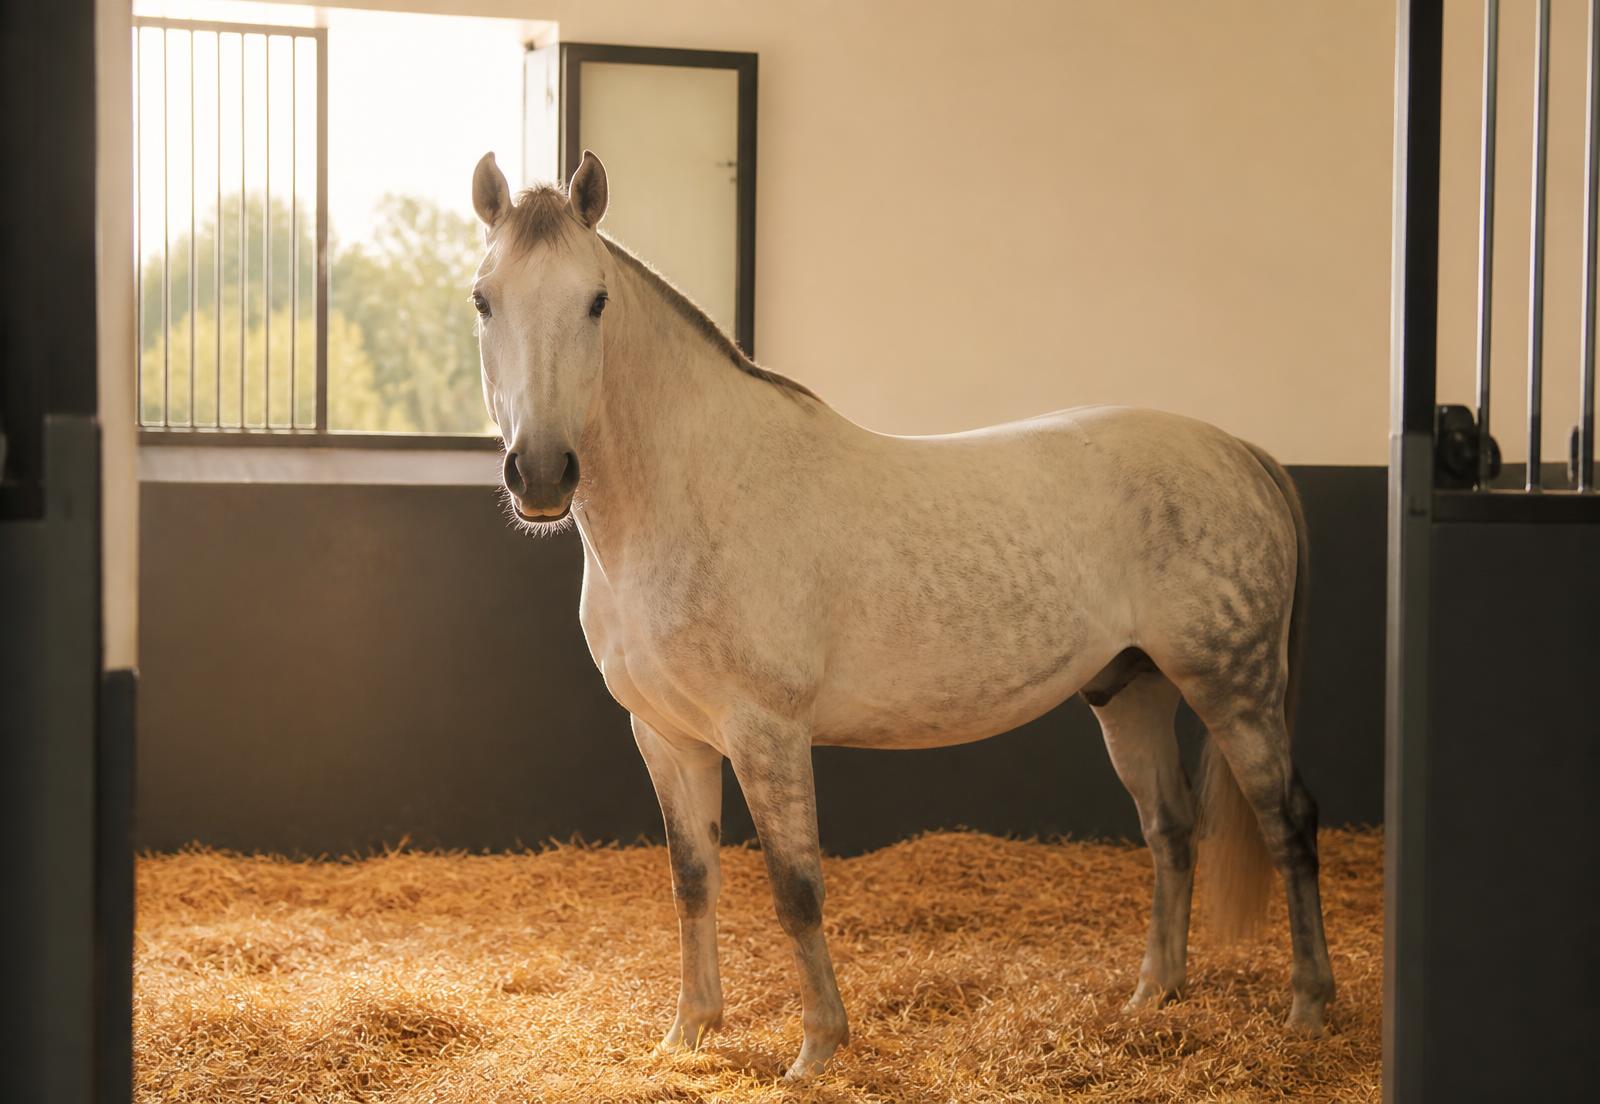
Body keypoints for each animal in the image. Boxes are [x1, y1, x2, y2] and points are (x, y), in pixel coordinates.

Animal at [468, 149, 1334, 1079]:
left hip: (1235, 687)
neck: (694, 492)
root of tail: (1238, 451)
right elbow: (692, 880)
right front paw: (688, 1032)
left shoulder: (766, 733)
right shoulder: (667, 736)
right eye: (485, 299)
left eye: (596, 300)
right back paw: (1152, 994)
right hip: (1130, 689)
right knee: (1170, 830)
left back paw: (1308, 1007)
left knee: (1288, 822)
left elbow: (796, 888)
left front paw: (816, 1048)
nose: (542, 473)